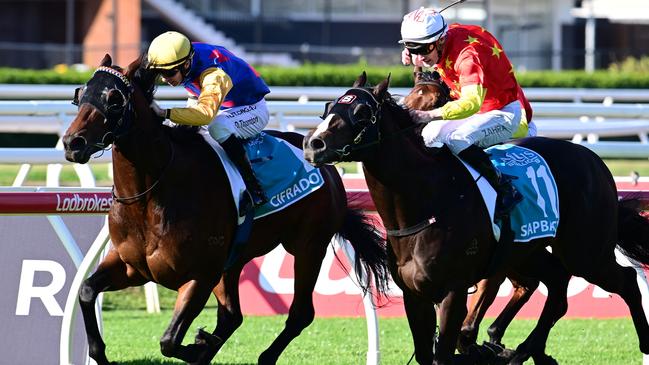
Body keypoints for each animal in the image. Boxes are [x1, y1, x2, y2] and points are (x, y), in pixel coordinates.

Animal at [62, 54, 390, 364]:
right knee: (233, 315)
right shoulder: (132, 267)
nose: (72, 142)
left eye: (115, 99)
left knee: (299, 313)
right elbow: (86, 291)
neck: (151, 194)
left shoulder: (200, 275)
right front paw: (100, 351)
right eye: (81, 94)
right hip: (234, 261)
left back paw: (263, 356)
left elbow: (169, 341)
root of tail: (324, 162)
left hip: (308, 246)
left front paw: (197, 346)